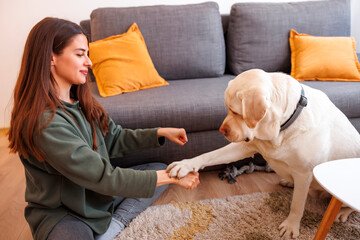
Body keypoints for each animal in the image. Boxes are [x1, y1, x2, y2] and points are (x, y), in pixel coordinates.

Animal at [168, 69, 360, 238]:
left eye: (236, 111)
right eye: (227, 109)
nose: (222, 130)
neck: (280, 128)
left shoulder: (304, 173)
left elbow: (297, 204)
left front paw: (291, 226)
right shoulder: (246, 145)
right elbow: (210, 155)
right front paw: (185, 164)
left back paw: (342, 212)